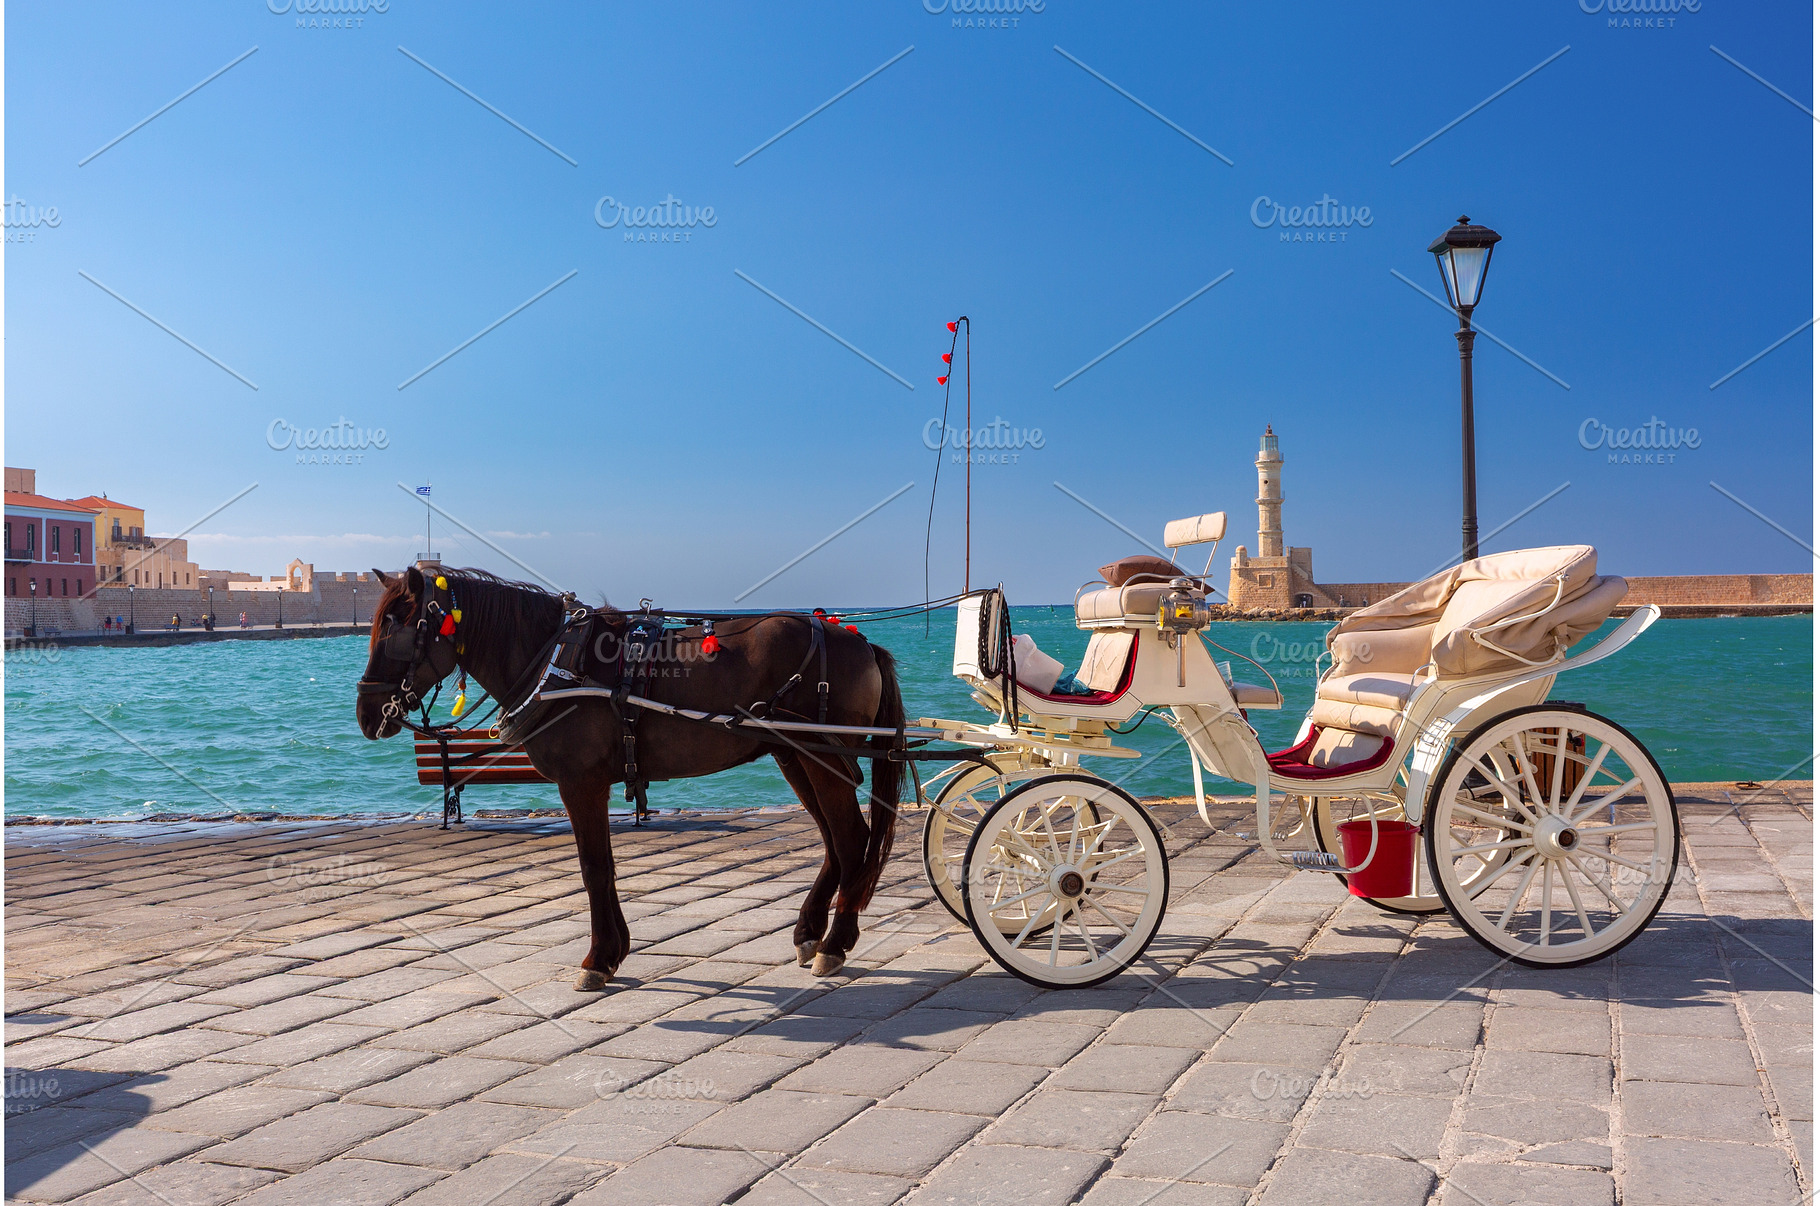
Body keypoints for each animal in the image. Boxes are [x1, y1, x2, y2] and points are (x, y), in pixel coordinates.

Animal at [354, 565, 904, 986]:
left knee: (851, 840)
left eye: (396, 629)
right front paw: (616, 949)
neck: (557, 660)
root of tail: (861, 642)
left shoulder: (581, 782)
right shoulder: (592, 784)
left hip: (820, 758)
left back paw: (835, 943)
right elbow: (607, 866)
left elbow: (593, 867)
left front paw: (599, 959)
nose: (366, 713)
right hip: (794, 758)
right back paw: (811, 932)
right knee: (835, 844)